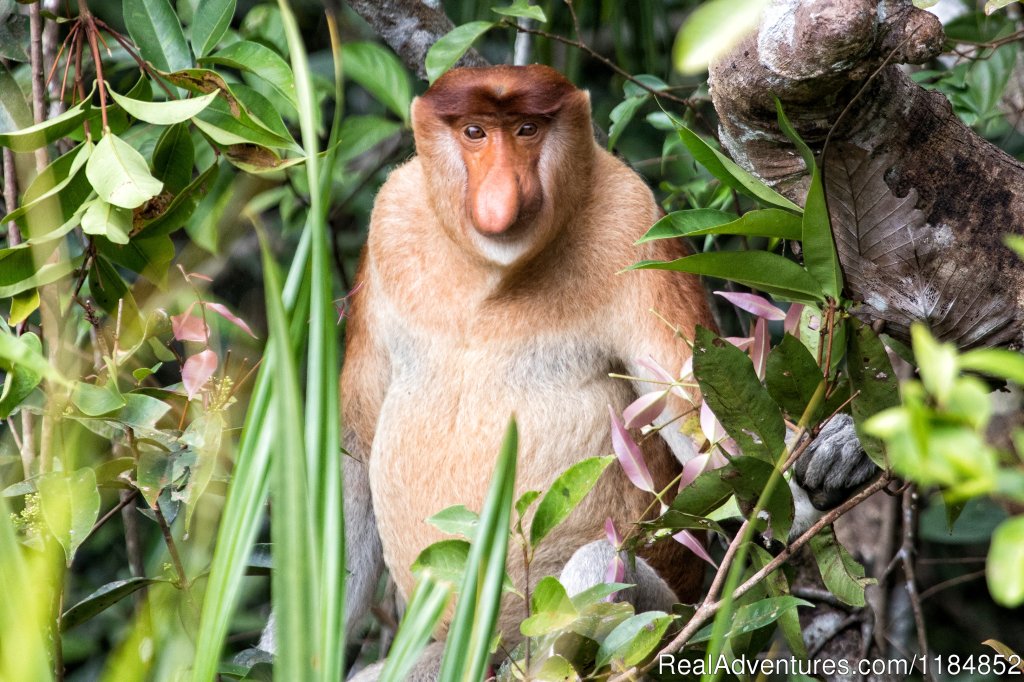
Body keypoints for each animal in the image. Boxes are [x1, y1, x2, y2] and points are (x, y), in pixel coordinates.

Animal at [262, 63, 872, 675]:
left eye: (527, 129)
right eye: (475, 132)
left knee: (604, 561)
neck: (491, 272)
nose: (502, 194)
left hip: (656, 620)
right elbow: (356, 443)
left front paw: (841, 455)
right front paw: (275, 651)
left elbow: (696, 409)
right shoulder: (392, 217)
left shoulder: (630, 223)